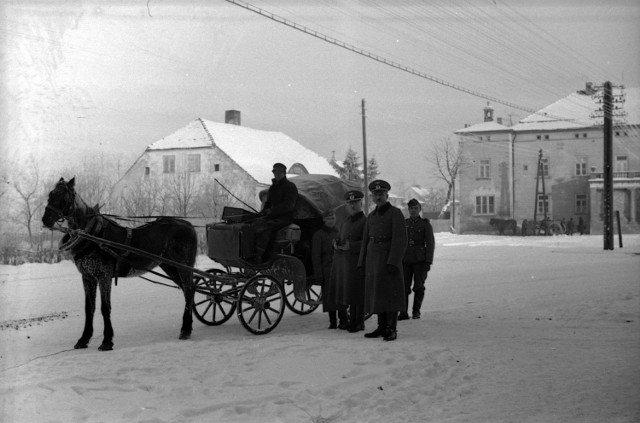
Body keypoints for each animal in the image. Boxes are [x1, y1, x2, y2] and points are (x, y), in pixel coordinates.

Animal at [42, 176, 198, 352]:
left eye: (64, 197)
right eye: (50, 194)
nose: (45, 219)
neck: (94, 235)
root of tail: (188, 225)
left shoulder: (104, 276)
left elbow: (105, 308)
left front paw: (107, 341)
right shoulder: (88, 277)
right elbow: (89, 308)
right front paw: (84, 339)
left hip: (182, 265)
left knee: (189, 290)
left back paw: (185, 329)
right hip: (169, 266)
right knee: (188, 290)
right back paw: (187, 327)